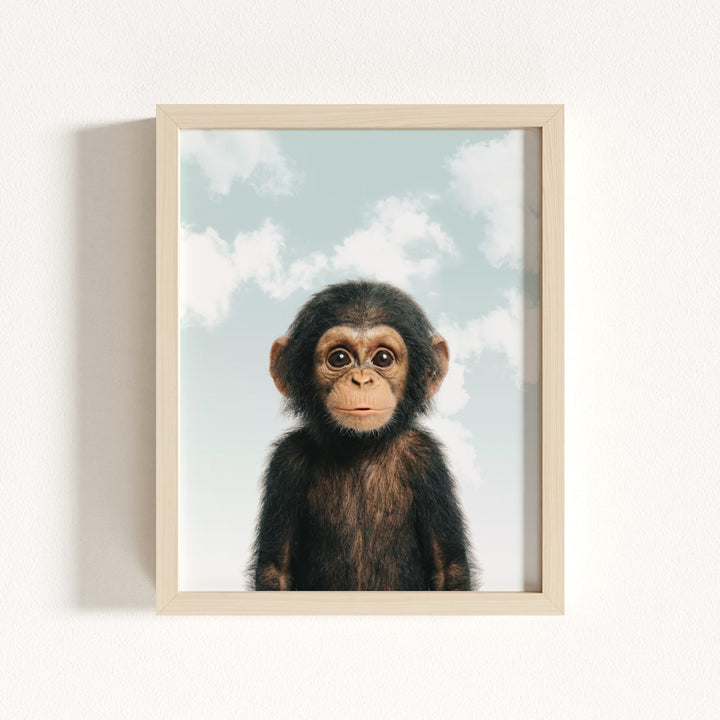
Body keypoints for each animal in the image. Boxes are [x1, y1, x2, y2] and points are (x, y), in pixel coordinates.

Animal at [250, 280, 476, 591]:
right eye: (339, 358)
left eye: (383, 358)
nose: (361, 380)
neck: (360, 447)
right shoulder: (287, 461)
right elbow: (275, 569)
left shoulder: (427, 459)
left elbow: (448, 568)